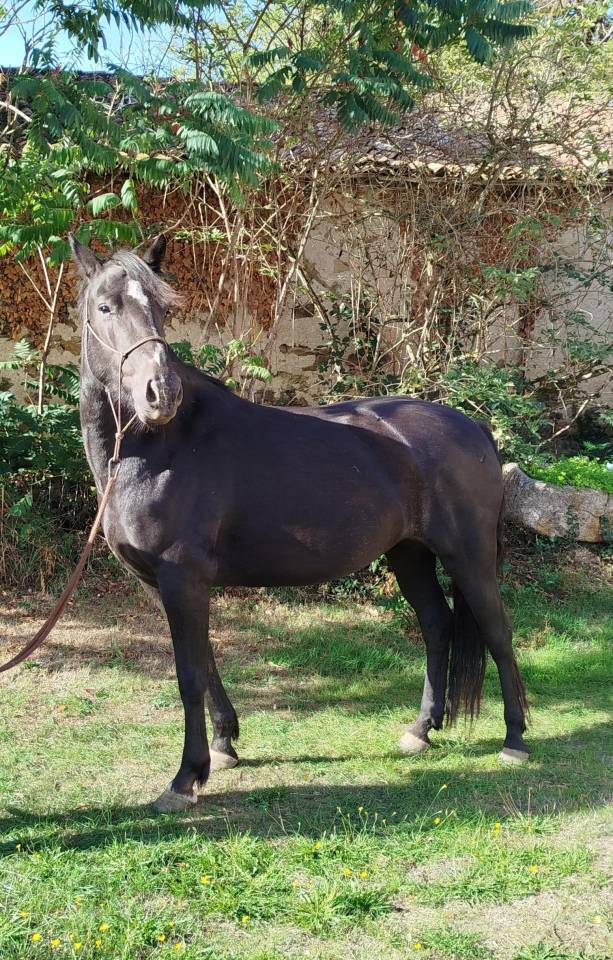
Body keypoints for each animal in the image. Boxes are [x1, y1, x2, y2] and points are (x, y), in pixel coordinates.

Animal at [69, 234, 529, 813]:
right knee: (436, 623)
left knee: (497, 630)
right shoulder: (165, 584)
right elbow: (207, 662)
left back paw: (515, 740)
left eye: (161, 309)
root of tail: (476, 428)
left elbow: (189, 674)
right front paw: (224, 746)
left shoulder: (182, 577)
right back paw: (420, 730)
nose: (162, 393)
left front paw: (185, 779)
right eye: (106, 307)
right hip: (409, 554)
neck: (159, 449)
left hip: (468, 556)